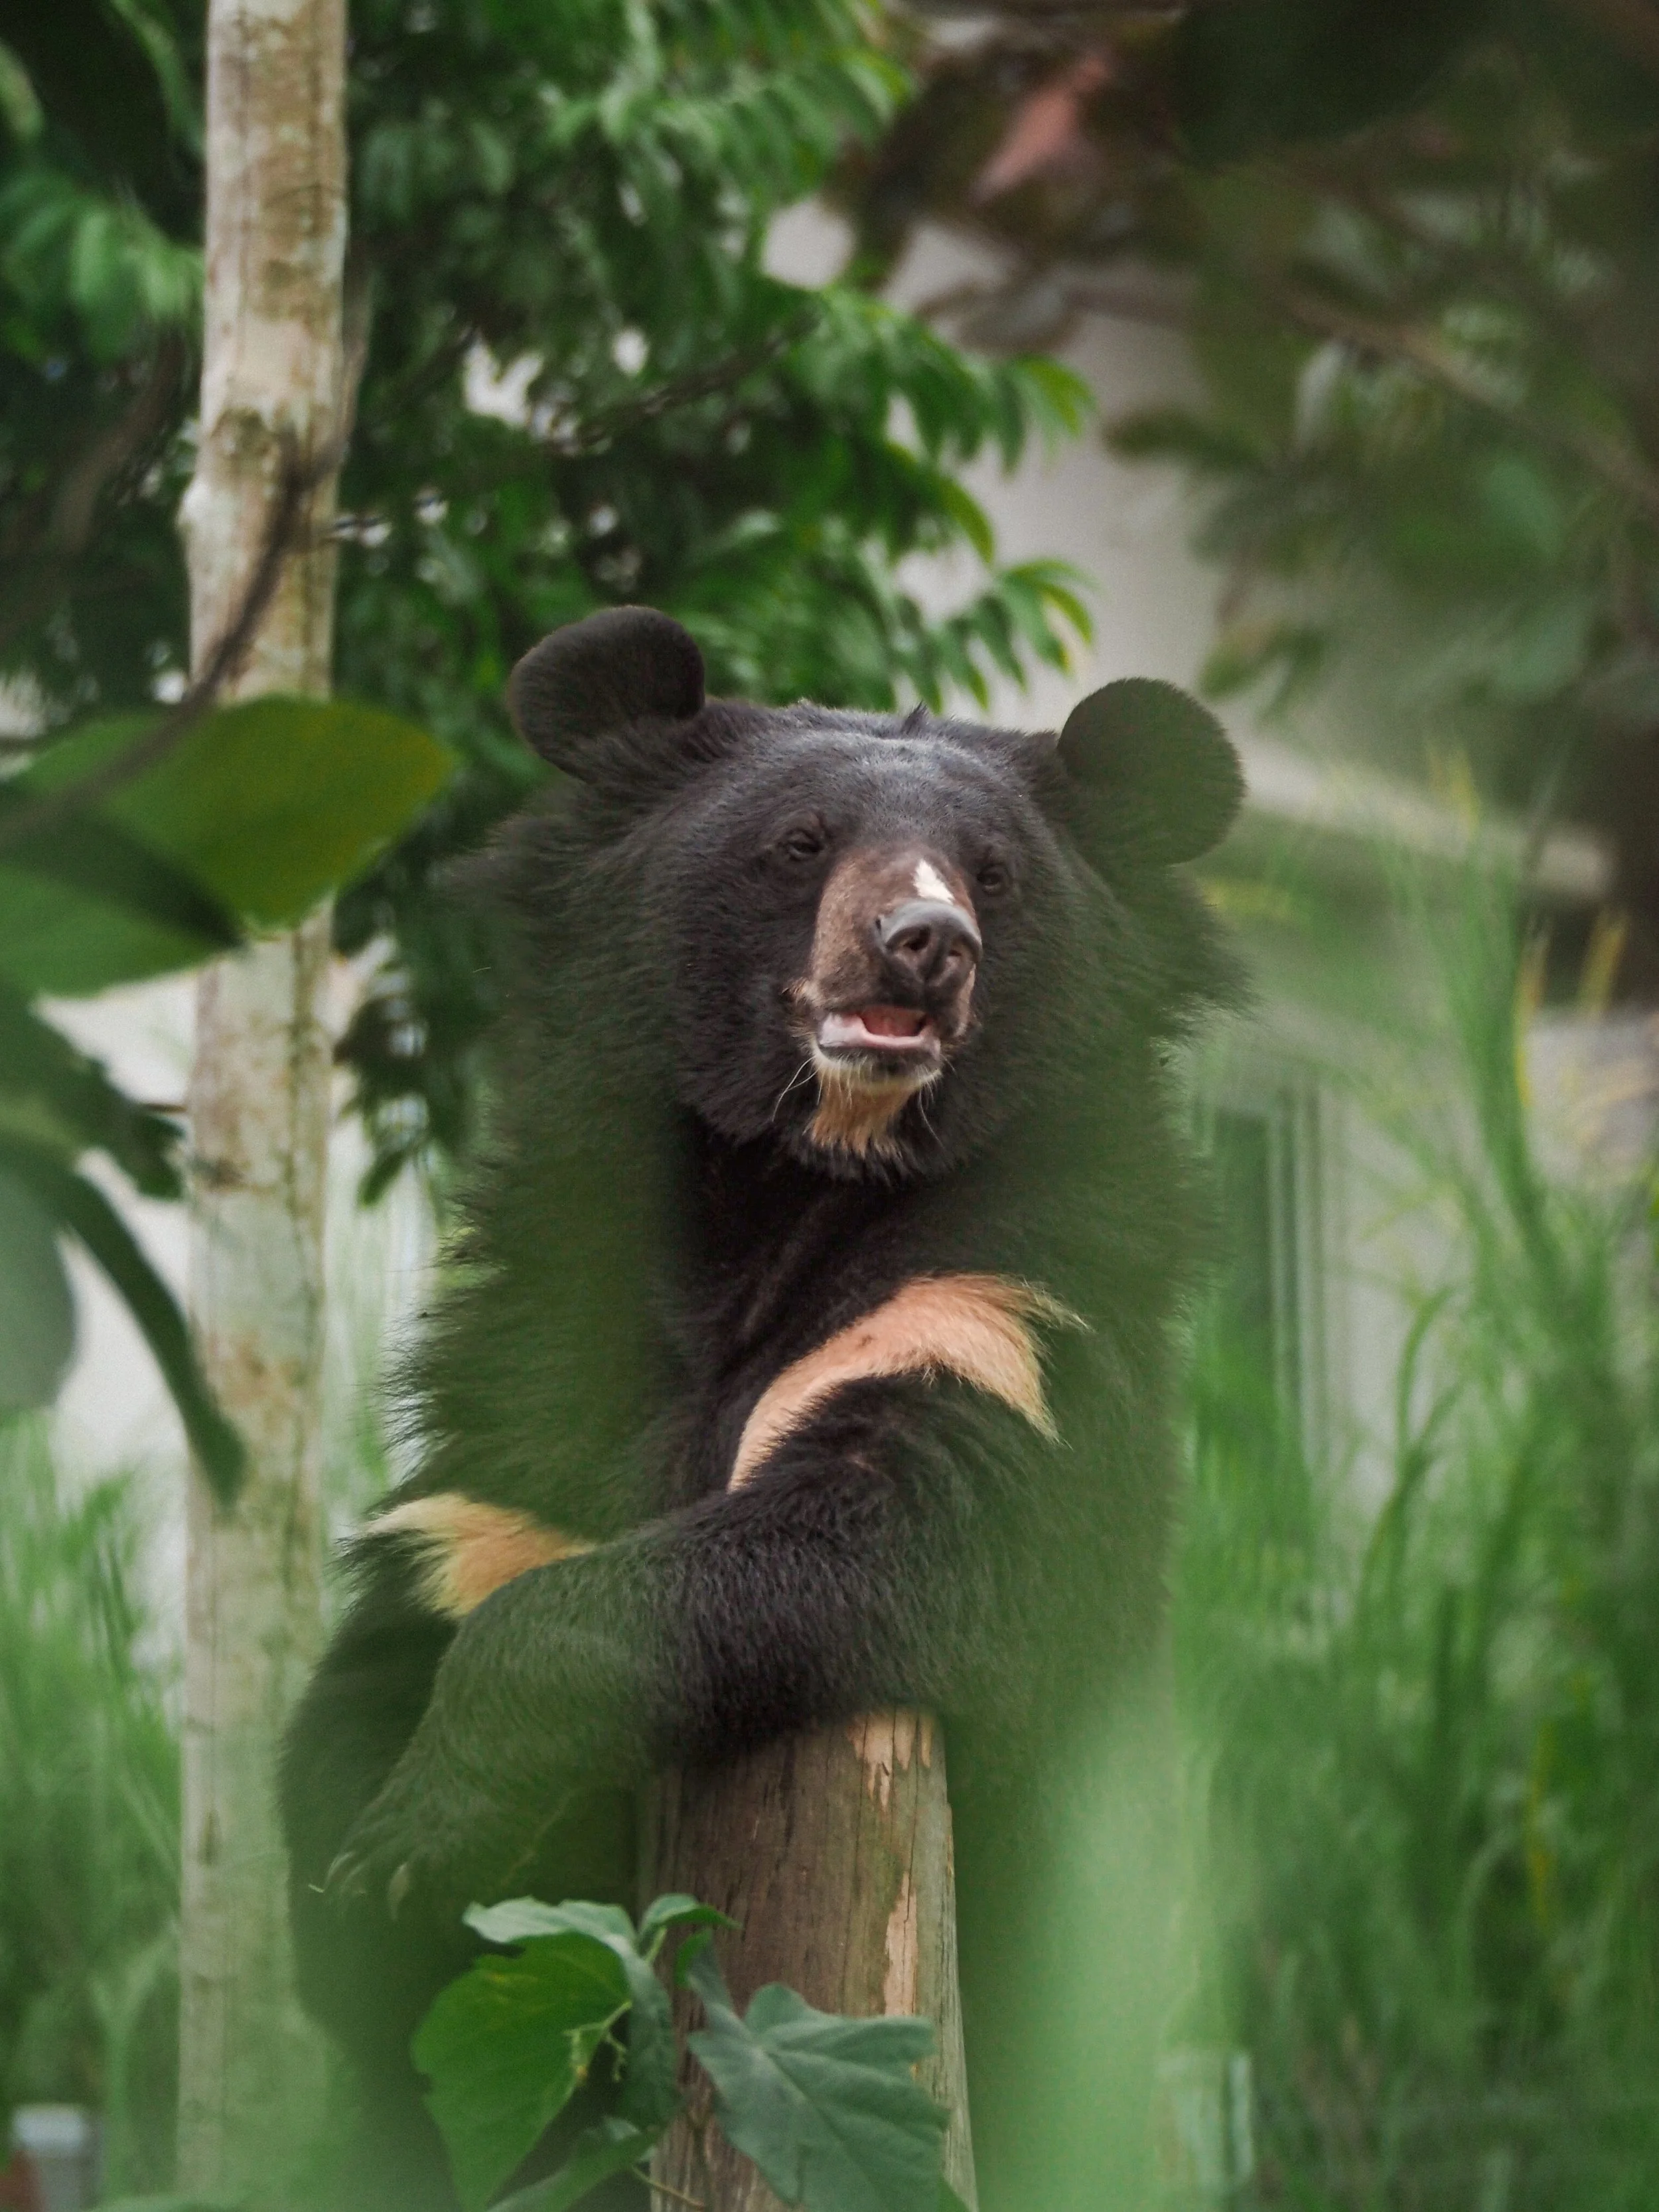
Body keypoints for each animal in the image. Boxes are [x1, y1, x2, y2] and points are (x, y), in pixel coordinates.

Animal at [280, 604, 1243, 2210]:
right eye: (801, 844)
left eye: (991, 872)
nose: (926, 948)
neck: (793, 1187)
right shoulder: (532, 1401)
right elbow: (398, 1648)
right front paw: (362, 1882)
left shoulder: (1005, 1313)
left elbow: (899, 1533)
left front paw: (415, 1834)